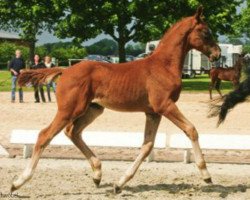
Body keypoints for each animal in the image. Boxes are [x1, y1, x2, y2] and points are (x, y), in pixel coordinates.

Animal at [13, 6, 221, 194]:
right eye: (206, 32)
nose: (217, 54)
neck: (163, 65)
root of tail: (65, 70)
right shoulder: (165, 106)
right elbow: (191, 130)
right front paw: (206, 174)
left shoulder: (152, 112)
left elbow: (147, 145)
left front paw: (119, 184)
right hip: (69, 110)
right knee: (45, 135)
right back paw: (18, 183)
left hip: (93, 109)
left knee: (73, 132)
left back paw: (97, 174)